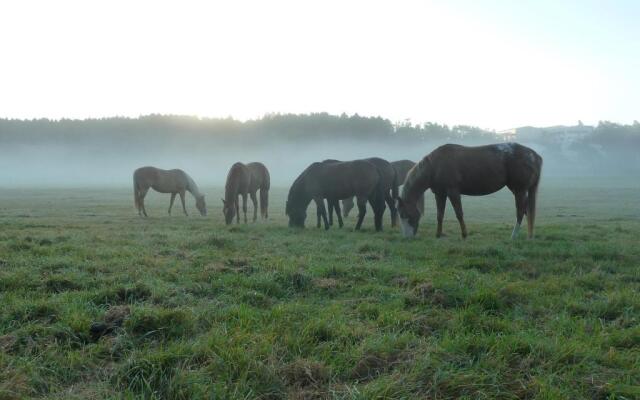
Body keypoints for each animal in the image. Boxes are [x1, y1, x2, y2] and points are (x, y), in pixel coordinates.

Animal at [398, 143, 544, 239]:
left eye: (405, 214)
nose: (407, 237)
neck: (435, 166)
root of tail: (534, 155)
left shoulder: (453, 192)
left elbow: (459, 214)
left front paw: (464, 235)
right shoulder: (440, 194)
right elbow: (440, 215)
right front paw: (438, 234)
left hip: (519, 190)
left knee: (520, 211)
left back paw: (513, 236)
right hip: (517, 190)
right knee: (527, 211)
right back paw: (529, 235)